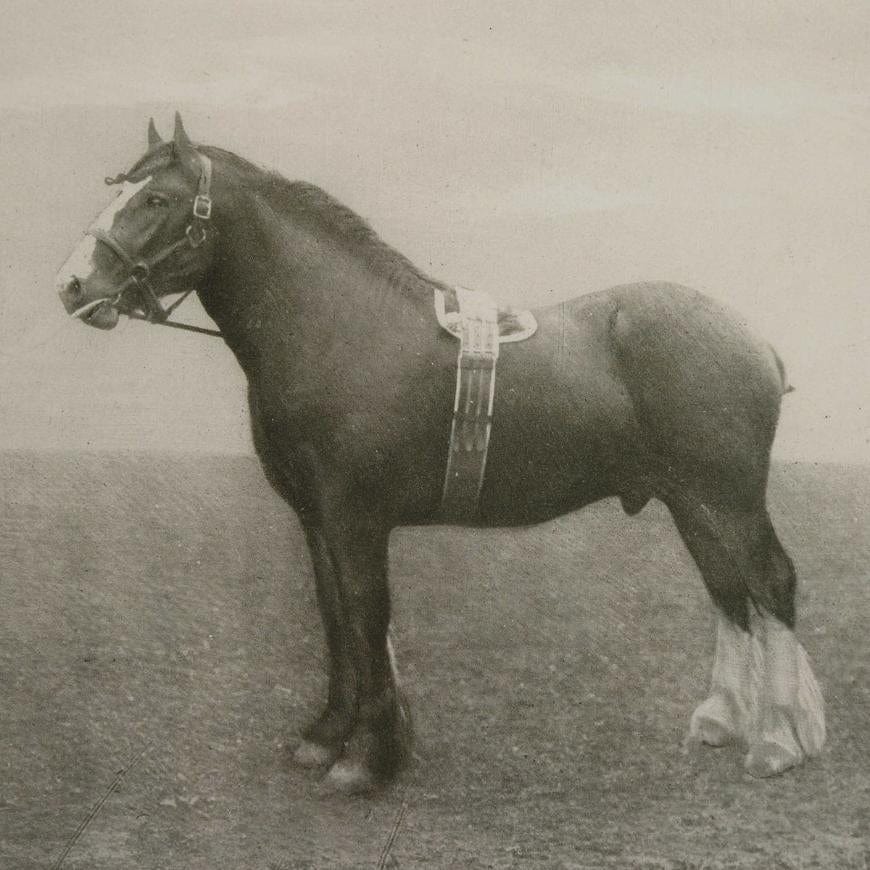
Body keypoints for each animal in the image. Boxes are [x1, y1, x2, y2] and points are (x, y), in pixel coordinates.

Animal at [55, 113, 825, 794]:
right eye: (121, 187)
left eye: (157, 199)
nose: (73, 284)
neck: (338, 326)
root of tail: (753, 338)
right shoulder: (317, 521)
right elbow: (335, 618)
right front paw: (326, 738)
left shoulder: (356, 520)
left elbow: (367, 617)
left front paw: (367, 761)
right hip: (689, 501)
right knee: (727, 591)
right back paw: (723, 720)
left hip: (728, 498)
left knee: (770, 583)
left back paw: (777, 742)